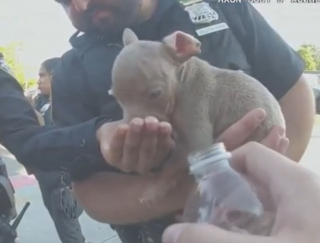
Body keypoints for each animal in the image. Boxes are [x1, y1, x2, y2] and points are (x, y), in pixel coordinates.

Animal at [110, 28, 284, 203]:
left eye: (155, 93)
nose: (130, 124)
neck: (183, 82)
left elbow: (173, 165)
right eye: (113, 96)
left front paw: (153, 190)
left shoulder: (196, 116)